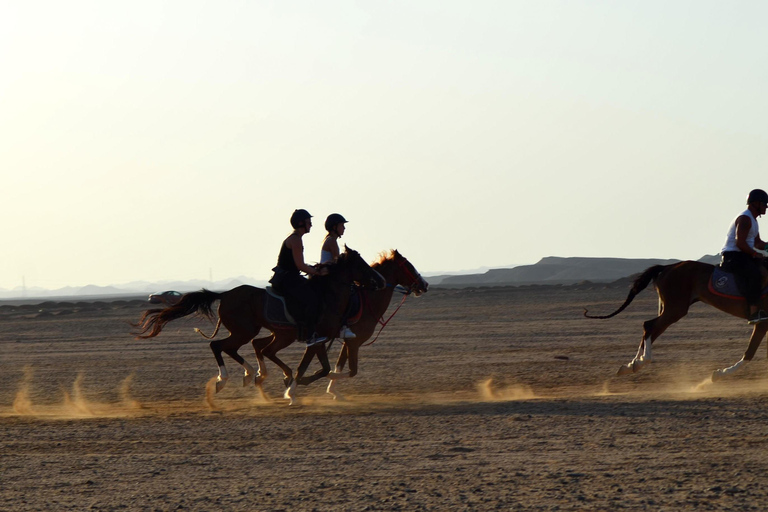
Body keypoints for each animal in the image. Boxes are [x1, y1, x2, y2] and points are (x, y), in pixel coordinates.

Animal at [133, 246, 388, 398]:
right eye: (362, 264)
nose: (381, 281)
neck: (329, 296)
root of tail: (224, 294)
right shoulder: (319, 337)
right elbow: (320, 367)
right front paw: (295, 385)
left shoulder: (322, 338)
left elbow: (325, 367)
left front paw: (296, 383)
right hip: (246, 331)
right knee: (221, 346)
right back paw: (226, 380)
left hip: (259, 332)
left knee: (244, 348)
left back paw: (252, 375)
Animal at [584, 260, 768, 380]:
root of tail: (666, 267)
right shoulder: (762, 322)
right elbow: (749, 352)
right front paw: (718, 374)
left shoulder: (763, 324)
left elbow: (750, 352)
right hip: (675, 308)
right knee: (649, 325)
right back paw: (639, 362)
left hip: (671, 308)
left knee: (652, 329)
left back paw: (631, 365)